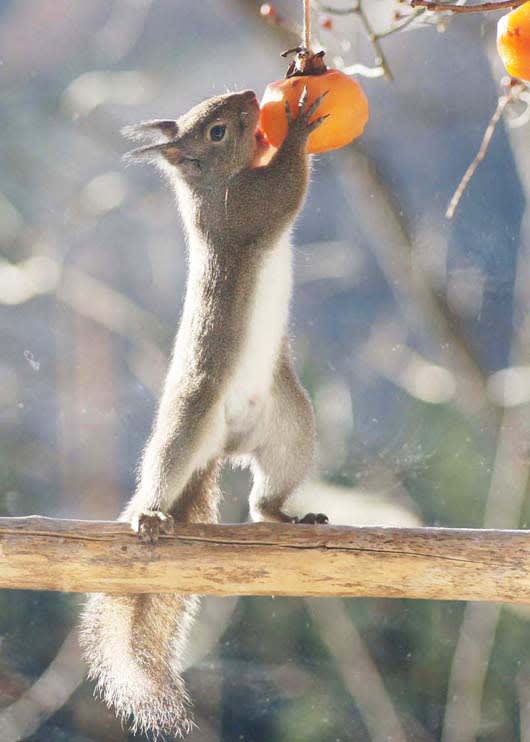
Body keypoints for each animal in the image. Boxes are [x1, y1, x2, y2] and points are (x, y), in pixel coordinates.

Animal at [79, 85, 326, 740]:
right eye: (216, 131)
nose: (250, 97)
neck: (214, 185)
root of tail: (224, 446)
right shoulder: (245, 210)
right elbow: (287, 186)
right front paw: (298, 126)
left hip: (292, 424)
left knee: (263, 499)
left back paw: (284, 516)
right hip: (190, 418)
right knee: (164, 468)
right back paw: (150, 514)